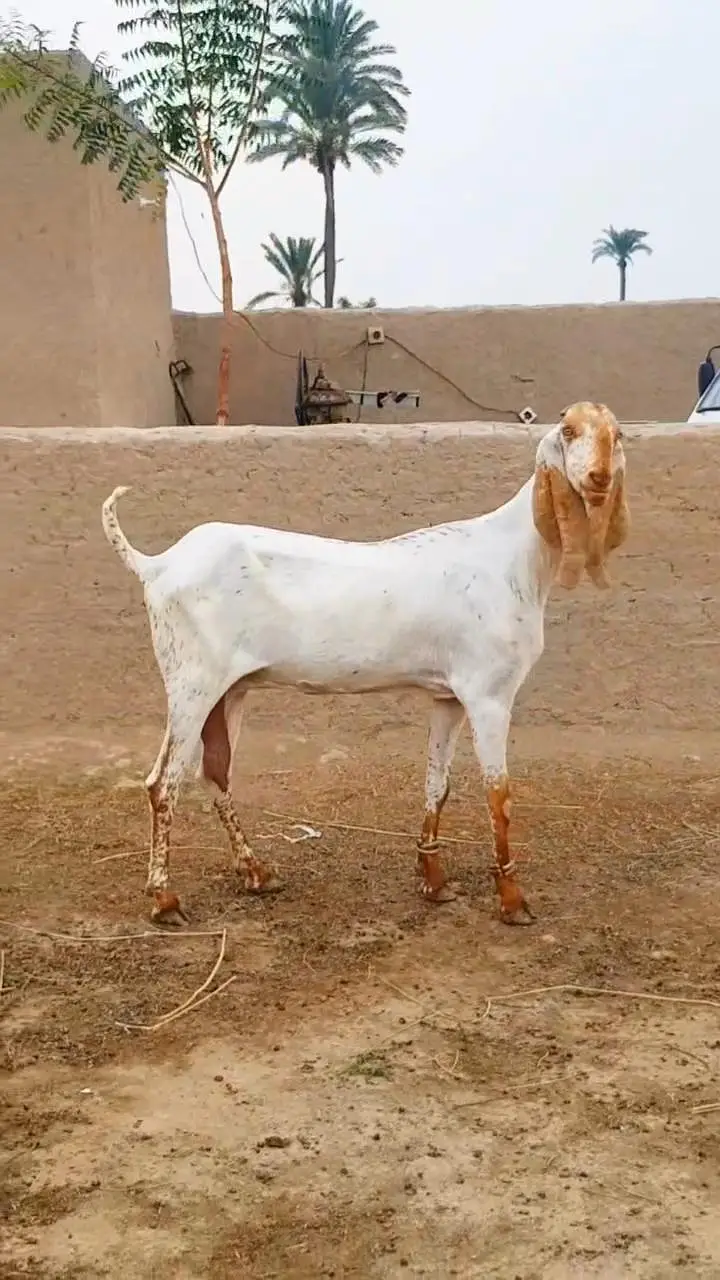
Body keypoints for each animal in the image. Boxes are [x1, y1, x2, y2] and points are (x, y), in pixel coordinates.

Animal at [101, 402, 629, 927]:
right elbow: (498, 795)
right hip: (191, 683)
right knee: (163, 784)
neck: (513, 558)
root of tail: (157, 564)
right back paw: (165, 899)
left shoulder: (449, 697)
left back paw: (256, 872)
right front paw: (512, 900)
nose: (599, 477)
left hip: (228, 689)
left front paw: (433, 881)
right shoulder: (489, 695)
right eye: (568, 430)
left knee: (214, 771)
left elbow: (438, 783)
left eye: (617, 435)